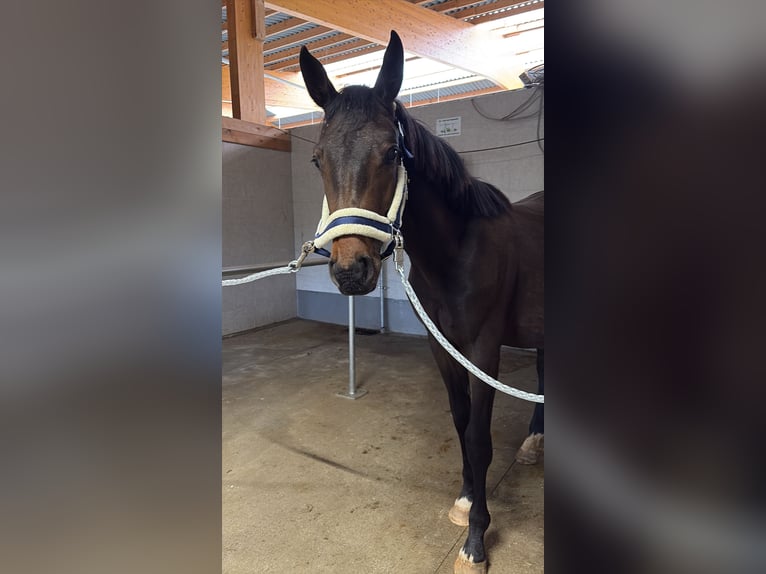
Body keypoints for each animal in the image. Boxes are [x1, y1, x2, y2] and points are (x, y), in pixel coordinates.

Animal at [299, 31, 544, 574]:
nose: (351, 270)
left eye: (392, 152)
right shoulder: (443, 348)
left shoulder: (483, 352)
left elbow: (479, 437)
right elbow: (459, 421)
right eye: (318, 158)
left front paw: (475, 542)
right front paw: (467, 501)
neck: (457, 252)